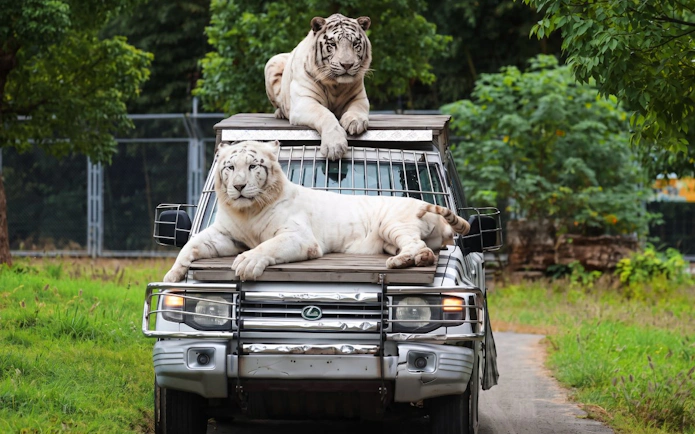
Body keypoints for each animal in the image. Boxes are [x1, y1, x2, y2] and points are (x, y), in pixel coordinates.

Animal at [163, 140, 471, 282]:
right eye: (230, 167)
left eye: (252, 167)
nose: (238, 186)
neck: (246, 211)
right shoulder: (226, 235)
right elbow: (190, 245)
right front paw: (172, 275)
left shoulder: (299, 236)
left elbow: (268, 246)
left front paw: (247, 263)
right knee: (423, 249)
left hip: (392, 224)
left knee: (420, 248)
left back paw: (399, 262)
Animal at [264, 13, 372, 161]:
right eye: (332, 44)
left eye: (355, 44)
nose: (347, 65)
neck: (335, 85)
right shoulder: (304, 101)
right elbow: (325, 114)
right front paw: (334, 147)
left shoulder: (359, 98)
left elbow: (357, 109)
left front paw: (355, 122)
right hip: (273, 61)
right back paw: (280, 113)